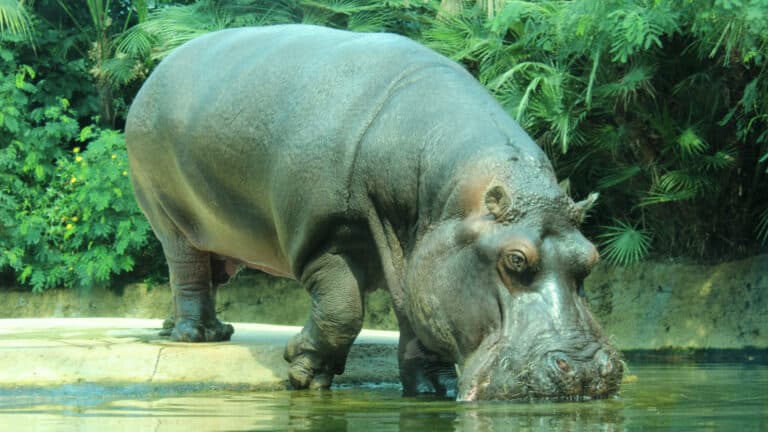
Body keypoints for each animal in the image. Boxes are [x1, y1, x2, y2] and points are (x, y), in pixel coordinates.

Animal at [125, 24, 623, 400]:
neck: (448, 201)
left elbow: (421, 325)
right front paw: (303, 372)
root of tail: (157, 71)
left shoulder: (416, 257)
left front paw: (434, 389)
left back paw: (187, 329)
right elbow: (343, 310)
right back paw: (196, 336)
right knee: (186, 269)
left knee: (205, 275)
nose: (585, 372)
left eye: (592, 257)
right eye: (515, 259)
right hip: (168, 216)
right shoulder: (324, 239)